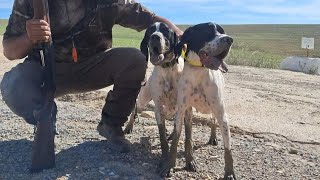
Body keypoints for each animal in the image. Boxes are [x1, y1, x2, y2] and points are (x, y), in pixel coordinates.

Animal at [159, 22, 236, 180]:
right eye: (208, 31)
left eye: (222, 31)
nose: (230, 39)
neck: (199, 72)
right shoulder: (182, 109)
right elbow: (176, 139)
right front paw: (169, 165)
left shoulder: (222, 114)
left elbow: (228, 148)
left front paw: (229, 173)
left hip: (214, 110)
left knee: (213, 121)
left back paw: (213, 138)